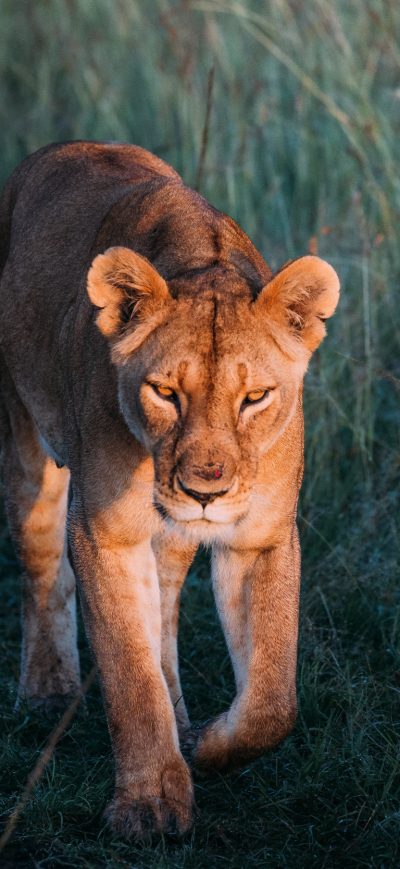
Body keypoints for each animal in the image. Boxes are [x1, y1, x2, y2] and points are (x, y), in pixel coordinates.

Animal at [0, 142, 339, 839]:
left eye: (255, 397)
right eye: (164, 392)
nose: (204, 492)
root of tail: (58, 149)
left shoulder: (260, 537)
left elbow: (272, 698)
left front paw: (207, 746)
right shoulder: (104, 533)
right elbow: (130, 675)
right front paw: (150, 804)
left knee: (164, 617)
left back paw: (182, 724)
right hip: (24, 432)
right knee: (41, 560)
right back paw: (47, 688)